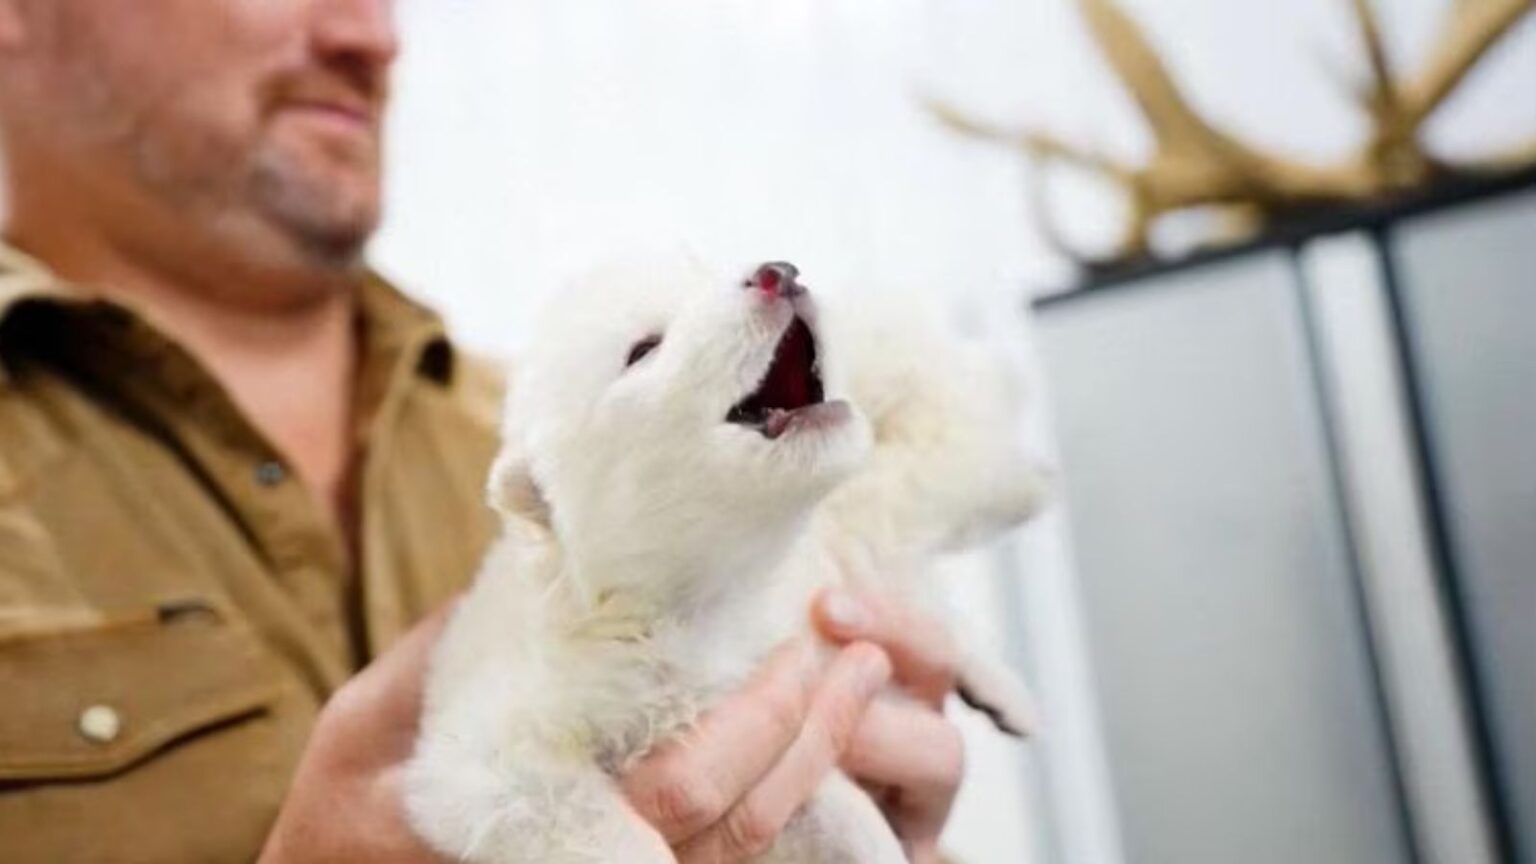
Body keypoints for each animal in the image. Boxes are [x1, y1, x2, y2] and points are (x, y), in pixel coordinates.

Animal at [405, 256, 1048, 863]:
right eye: (644, 349)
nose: (779, 272)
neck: (703, 603)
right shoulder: (492, 757)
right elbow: (605, 830)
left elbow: (849, 814)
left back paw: (1003, 691)